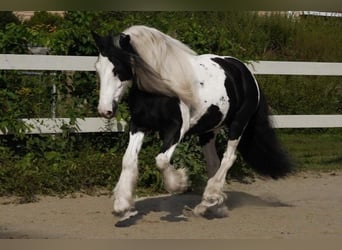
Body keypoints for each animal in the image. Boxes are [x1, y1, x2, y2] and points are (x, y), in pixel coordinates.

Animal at [92, 24, 292, 221]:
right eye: (98, 69)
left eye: (117, 68)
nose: (105, 110)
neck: (159, 89)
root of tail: (245, 72)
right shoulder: (139, 125)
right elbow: (128, 160)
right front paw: (122, 205)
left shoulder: (176, 129)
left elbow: (161, 160)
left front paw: (179, 183)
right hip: (208, 132)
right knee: (213, 163)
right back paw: (210, 206)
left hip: (238, 125)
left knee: (228, 158)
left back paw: (211, 197)